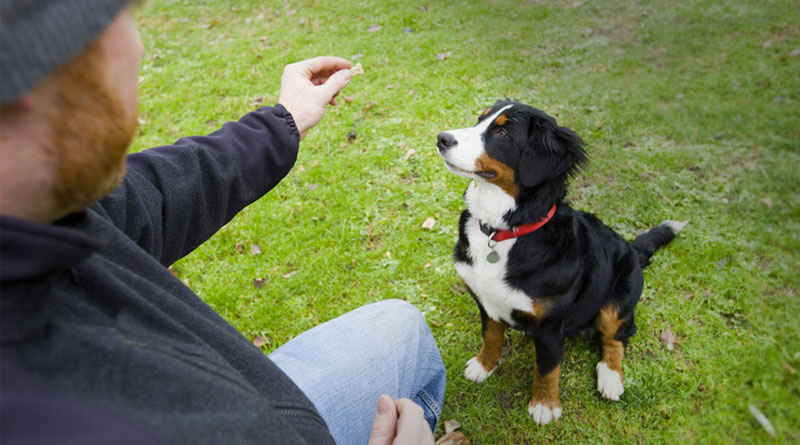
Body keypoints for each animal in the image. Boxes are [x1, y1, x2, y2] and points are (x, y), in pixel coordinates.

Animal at [438, 99, 688, 424]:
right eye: (479, 120)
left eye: (503, 133)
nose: (442, 138)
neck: (502, 233)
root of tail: (632, 250)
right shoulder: (485, 301)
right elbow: (491, 336)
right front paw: (484, 365)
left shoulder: (550, 326)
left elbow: (547, 368)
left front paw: (545, 404)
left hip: (618, 299)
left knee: (618, 337)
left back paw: (610, 378)